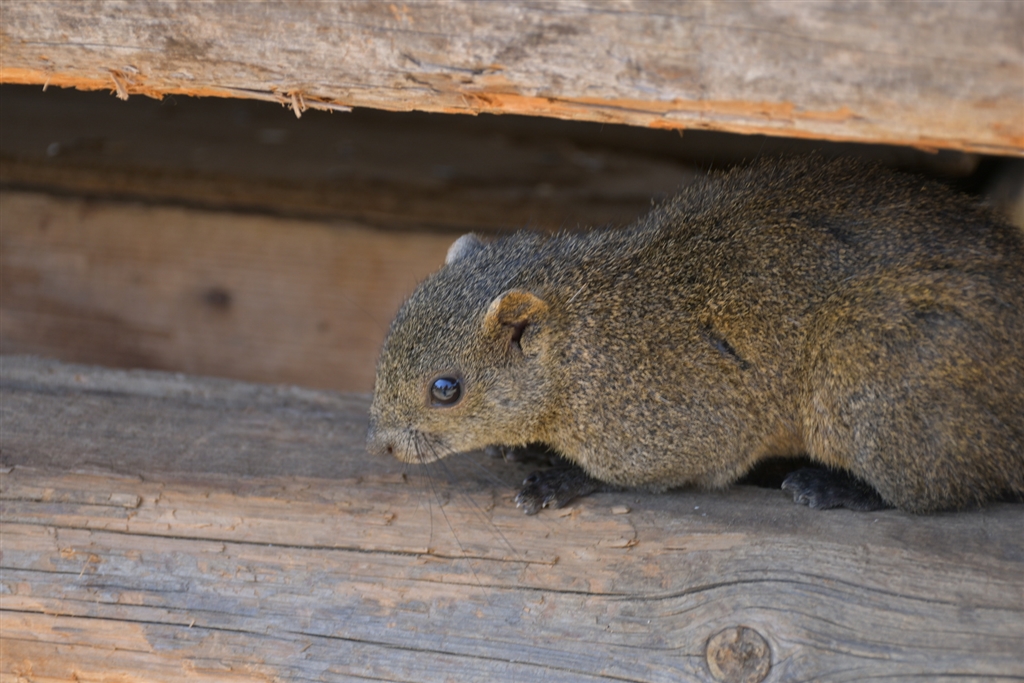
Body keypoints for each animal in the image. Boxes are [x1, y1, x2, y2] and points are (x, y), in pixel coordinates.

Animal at [367, 156, 1024, 514]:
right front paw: (524, 447)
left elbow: (657, 472)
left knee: (939, 489)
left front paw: (558, 475)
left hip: (867, 367)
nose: (381, 444)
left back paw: (834, 487)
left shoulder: (678, 421)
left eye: (446, 389)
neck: (584, 343)